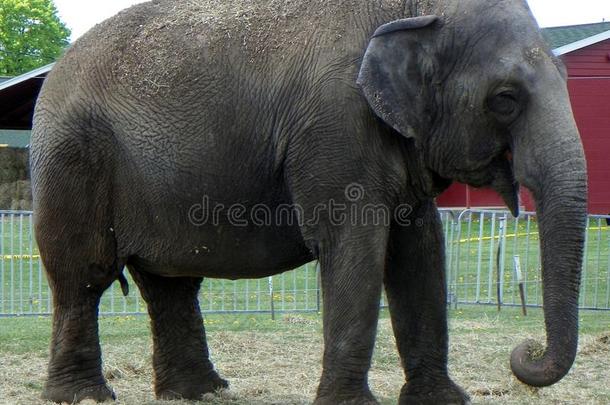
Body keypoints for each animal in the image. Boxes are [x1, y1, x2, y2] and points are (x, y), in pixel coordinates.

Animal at [30, 0, 588, 402]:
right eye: (505, 99)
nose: (526, 350)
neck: (417, 9)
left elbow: (420, 252)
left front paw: (443, 400)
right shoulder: (335, 127)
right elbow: (357, 247)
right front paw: (351, 404)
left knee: (171, 285)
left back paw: (201, 393)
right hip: (72, 162)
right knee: (84, 277)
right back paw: (84, 397)